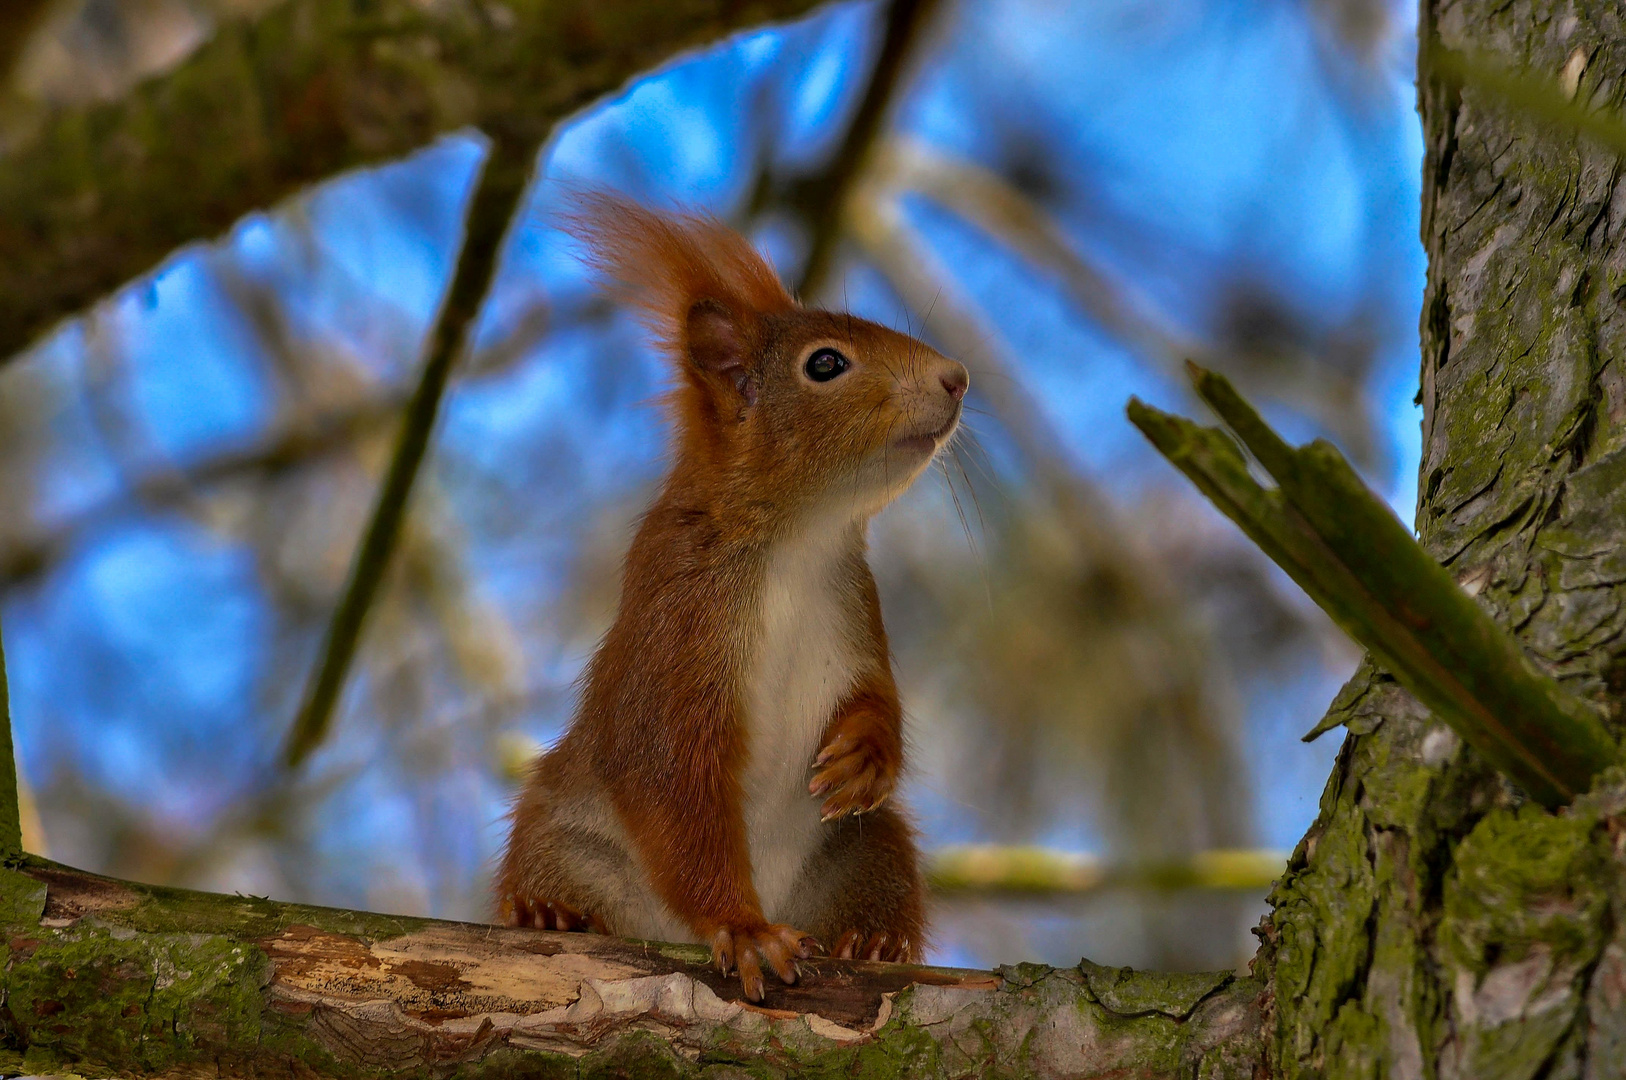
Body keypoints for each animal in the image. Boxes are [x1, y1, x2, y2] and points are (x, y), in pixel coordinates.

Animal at [494, 189, 962, 1001]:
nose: (957, 376)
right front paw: (740, 928)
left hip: (869, 846)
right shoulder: (681, 619)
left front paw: (867, 755)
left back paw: (872, 938)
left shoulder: (857, 608)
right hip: (565, 834)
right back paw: (549, 913)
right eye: (826, 364)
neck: (799, 542)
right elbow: (673, 782)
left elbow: (877, 695)